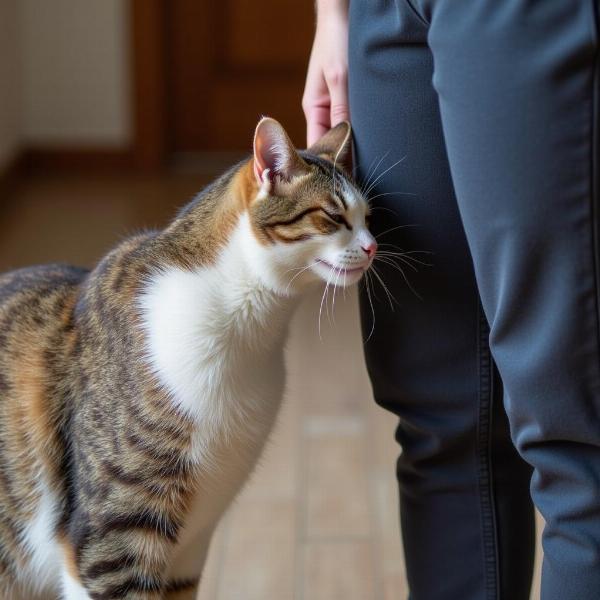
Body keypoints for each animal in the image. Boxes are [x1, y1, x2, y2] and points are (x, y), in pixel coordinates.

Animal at [0, 117, 376, 600]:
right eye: (333, 216)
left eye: (368, 218)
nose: (373, 247)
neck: (247, 326)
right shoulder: (110, 538)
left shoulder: (190, 547)